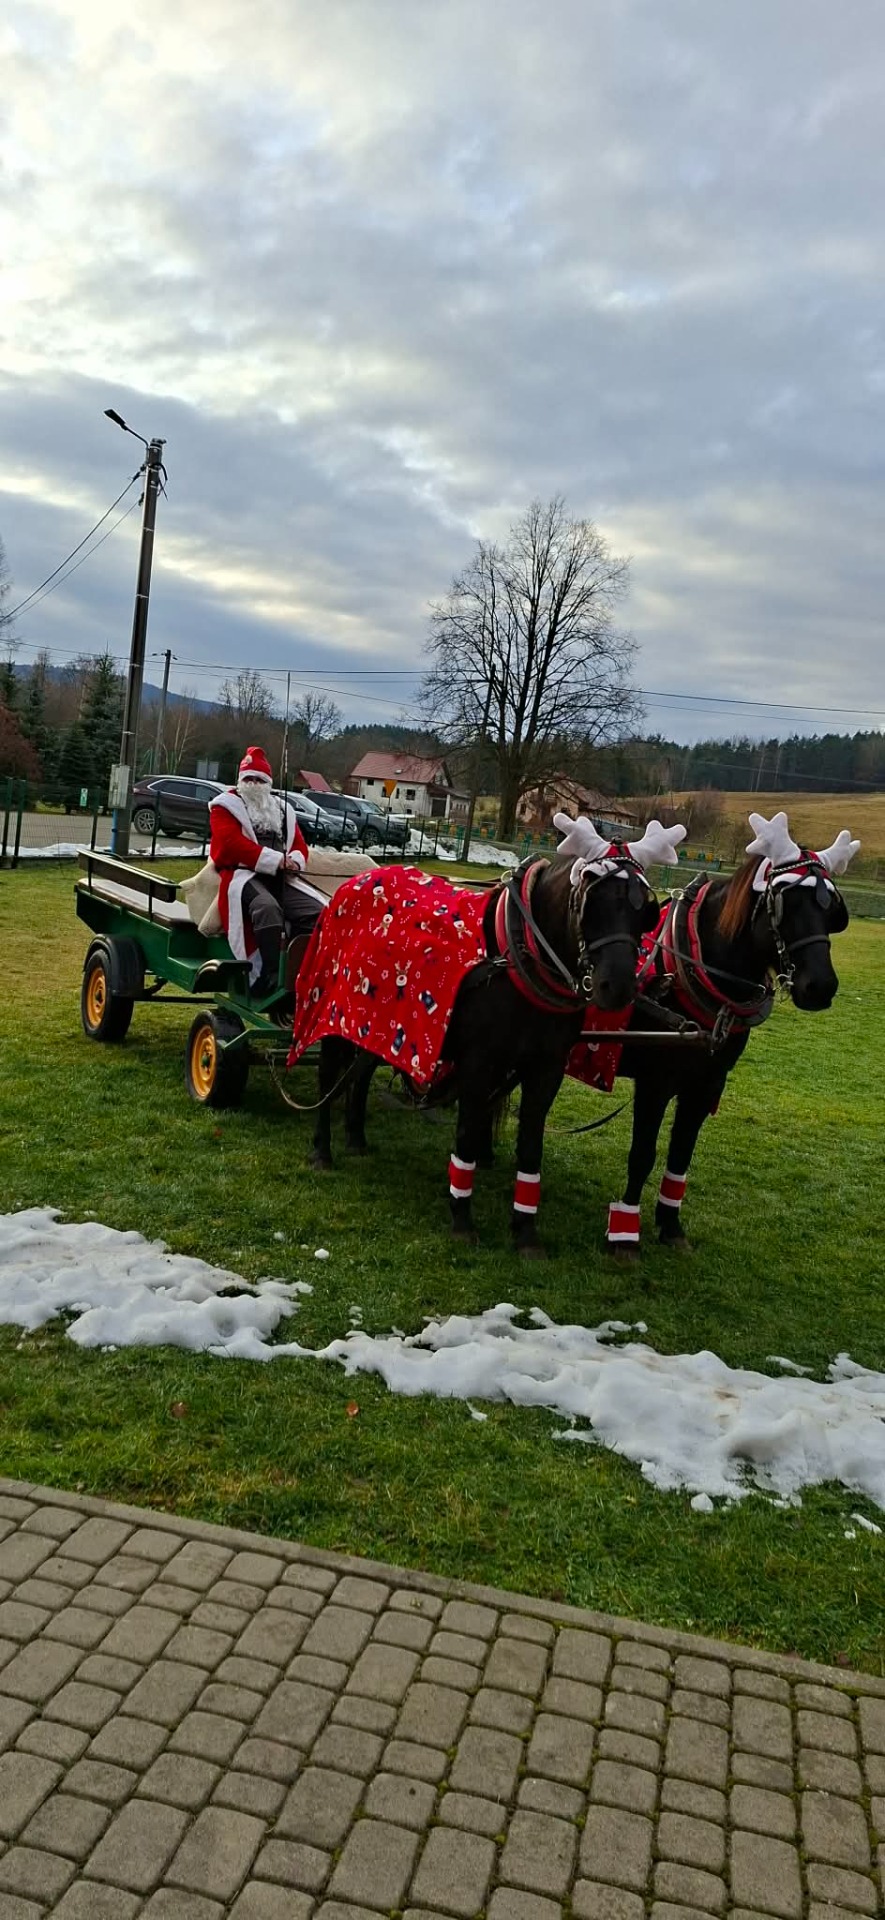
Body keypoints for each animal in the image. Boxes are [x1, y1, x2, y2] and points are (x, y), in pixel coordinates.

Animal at [292, 822, 686, 1254]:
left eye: (644, 911)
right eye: (590, 902)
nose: (617, 987)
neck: (519, 958)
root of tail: (353, 882)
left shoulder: (545, 1068)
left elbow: (530, 1145)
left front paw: (525, 1230)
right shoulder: (478, 1063)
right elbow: (466, 1134)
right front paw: (461, 1217)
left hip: (378, 1022)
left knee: (360, 1073)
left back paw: (357, 1137)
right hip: (333, 1008)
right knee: (329, 1076)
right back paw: (322, 1150)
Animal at [561, 810, 860, 1254]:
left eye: (832, 909)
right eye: (784, 903)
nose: (820, 986)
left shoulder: (706, 1083)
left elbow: (682, 1153)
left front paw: (670, 1223)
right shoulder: (656, 1081)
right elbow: (643, 1153)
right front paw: (625, 1231)